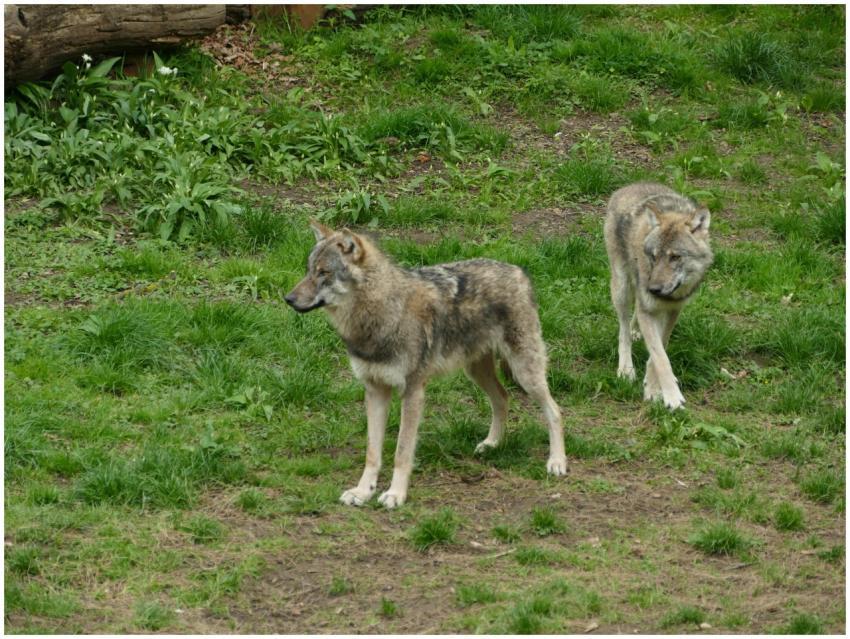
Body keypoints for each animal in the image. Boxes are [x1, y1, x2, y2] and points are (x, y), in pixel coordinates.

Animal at [285, 220, 567, 508]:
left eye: (324, 272)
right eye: (308, 270)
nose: (288, 299)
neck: (382, 313)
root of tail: (519, 271)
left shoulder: (413, 392)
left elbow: (401, 451)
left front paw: (395, 494)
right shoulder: (375, 390)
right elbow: (372, 452)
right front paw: (363, 491)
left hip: (525, 373)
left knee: (555, 410)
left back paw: (556, 462)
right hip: (476, 371)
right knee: (502, 398)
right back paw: (492, 444)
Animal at [604, 182, 713, 410]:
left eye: (675, 257)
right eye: (653, 256)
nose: (652, 289)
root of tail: (628, 186)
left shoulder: (673, 310)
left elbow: (659, 350)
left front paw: (653, 389)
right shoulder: (648, 308)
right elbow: (661, 358)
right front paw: (672, 398)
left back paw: (636, 333)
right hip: (622, 288)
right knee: (623, 330)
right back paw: (625, 369)